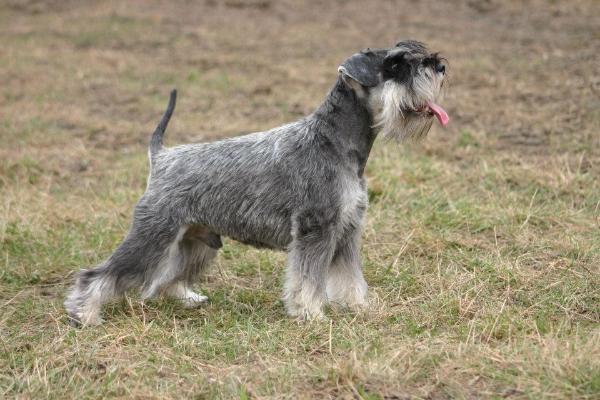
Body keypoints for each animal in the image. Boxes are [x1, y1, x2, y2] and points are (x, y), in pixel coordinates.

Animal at [65, 39, 450, 324]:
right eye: (396, 65)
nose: (440, 66)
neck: (333, 141)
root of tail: (162, 157)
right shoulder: (316, 229)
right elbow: (308, 279)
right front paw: (311, 314)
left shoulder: (347, 230)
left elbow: (350, 277)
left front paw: (359, 307)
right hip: (153, 235)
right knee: (101, 274)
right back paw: (85, 313)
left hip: (197, 241)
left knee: (167, 275)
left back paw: (186, 297)